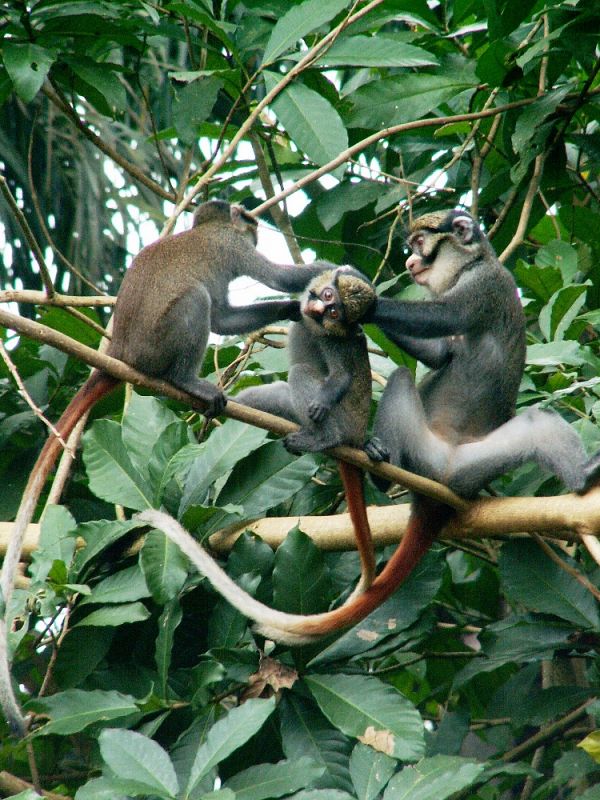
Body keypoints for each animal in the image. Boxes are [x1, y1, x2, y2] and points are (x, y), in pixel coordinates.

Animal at [0, 200, 332, 736]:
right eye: (246, 219)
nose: (256, 225)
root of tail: (119, 352)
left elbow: (227, 317)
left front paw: (288, 310)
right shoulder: (230, 248)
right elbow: (271, 279)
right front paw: (322, 276)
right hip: (158, 344)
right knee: (194, 302)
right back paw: (185, 380)